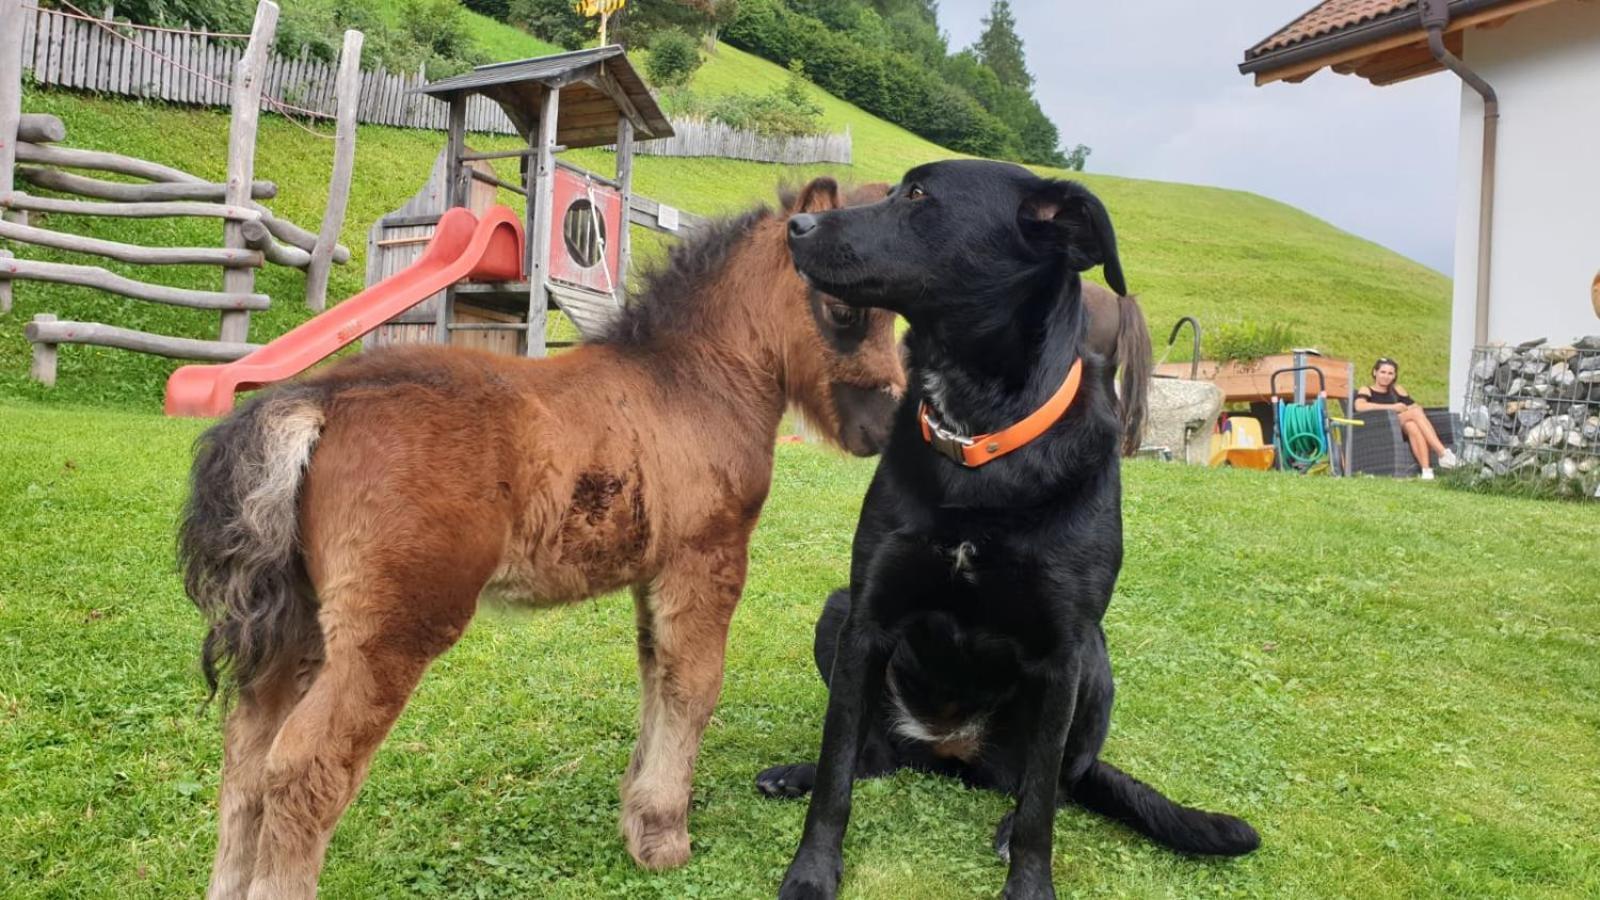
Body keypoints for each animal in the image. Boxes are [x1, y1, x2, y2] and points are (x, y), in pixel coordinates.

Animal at [181, 176, 908, 896]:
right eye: (843, 311)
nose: (883, 425)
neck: (693, 380)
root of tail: (317, 401)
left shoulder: (653, 573)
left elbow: (655, 679)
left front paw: (639, 823)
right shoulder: (707, 557)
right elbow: (694, 687)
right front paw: (665, 837)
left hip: (301, 621)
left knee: (246, 755)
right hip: (392, 629)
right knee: (305, 767)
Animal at [768, 162, 1254, 896]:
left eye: (918, 195)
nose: (795, 224)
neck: (980, 436)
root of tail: (951, 751)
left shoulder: (1063, 652)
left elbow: (1039, 814)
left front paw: (1030, 884)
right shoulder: (869, 616)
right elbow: (836, 771)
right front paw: (812, 872)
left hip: (1095, 665)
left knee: (1057, 783)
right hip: (839, 612)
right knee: (874, 755)